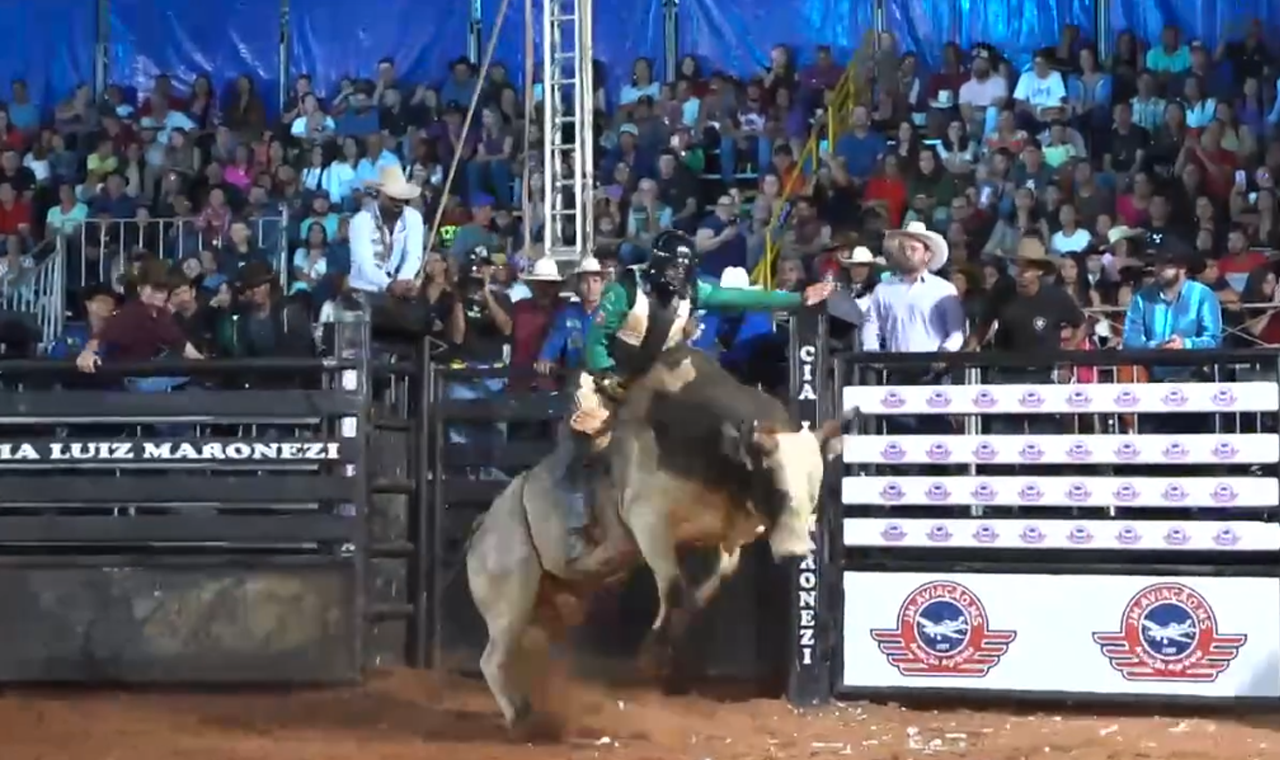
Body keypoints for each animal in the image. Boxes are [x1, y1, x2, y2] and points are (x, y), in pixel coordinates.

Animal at [465, 342, 844, 721]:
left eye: (815, 487)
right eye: (773, 484)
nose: (796, 551)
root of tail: (481, 528)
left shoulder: (724, 538)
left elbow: (707, 586)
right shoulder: (648, 522)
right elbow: (673, 585)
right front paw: (653, 654)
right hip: (509, 597)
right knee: (492, 659)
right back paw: (520, 716)